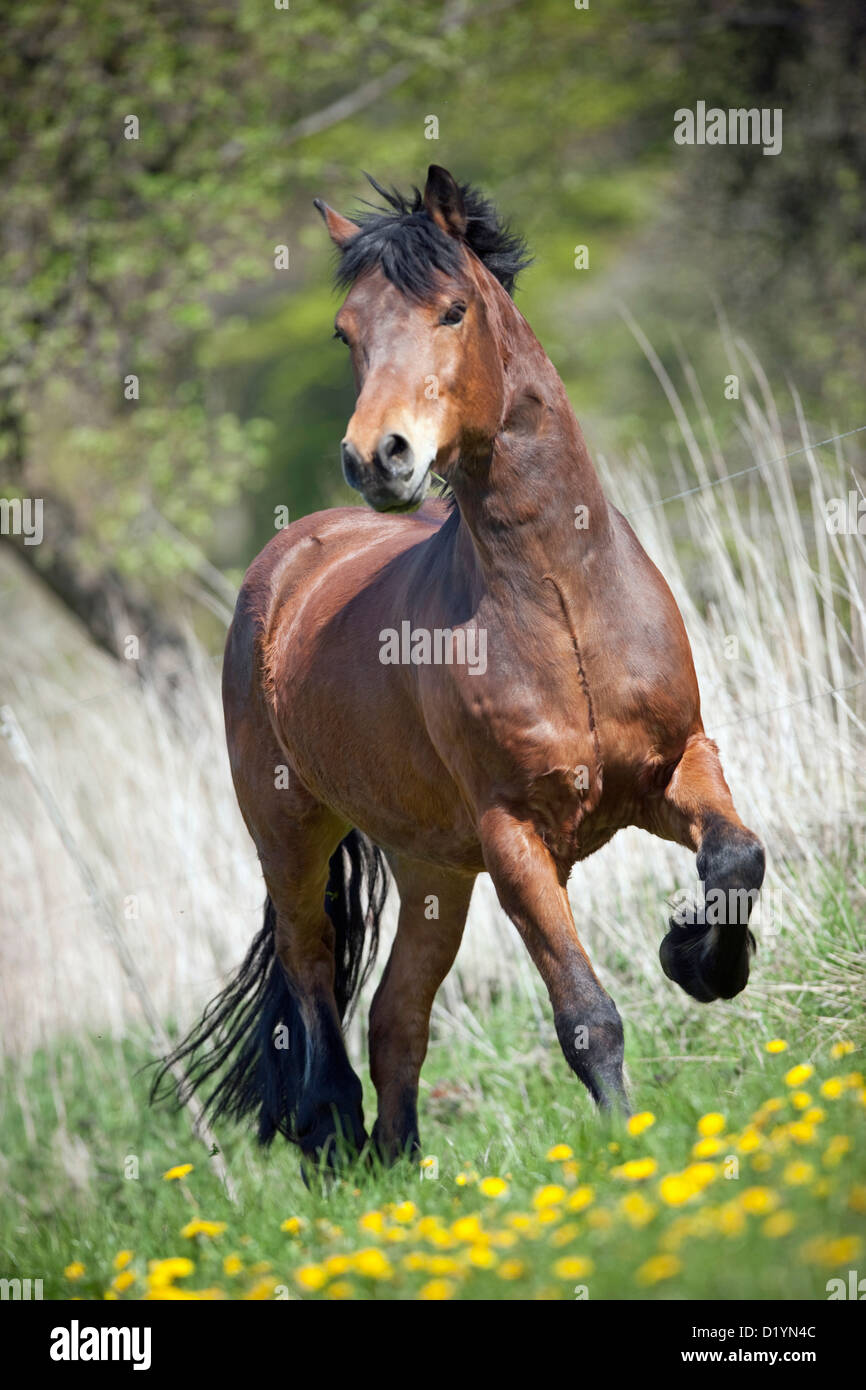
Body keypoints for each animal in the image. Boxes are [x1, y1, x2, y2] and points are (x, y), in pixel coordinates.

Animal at [154, 165, 765, 1170]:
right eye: (346, 331)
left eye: (452, 310)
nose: (378, 456)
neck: (561, 601)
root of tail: (286, 564)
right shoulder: (514, 835)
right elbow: (586, 1014)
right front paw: (625, 1145)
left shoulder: (676, 766)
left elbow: (737, 858)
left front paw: (701, 961)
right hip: (292, 841)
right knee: (315, 992)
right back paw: (338, 1146)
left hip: (433, 871)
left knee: (395, 1018)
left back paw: (402, 1163)